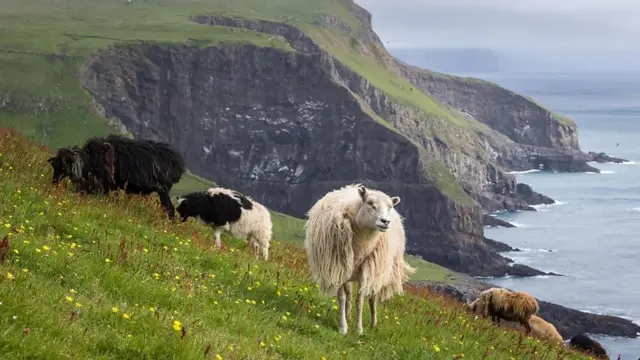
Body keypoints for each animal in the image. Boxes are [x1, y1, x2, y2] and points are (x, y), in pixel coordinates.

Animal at [44, 134, 185, 218]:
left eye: (63, 166)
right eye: (54, 166)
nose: (53, 182)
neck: (89, 160)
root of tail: (177, 163)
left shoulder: (105, 185)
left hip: (163, 190)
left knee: (170, 209)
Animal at [304, 184, 418, 336]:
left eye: (389, 207)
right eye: (369, 203)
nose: (385, 221)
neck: (363, 243)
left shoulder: (367, 267)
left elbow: (360, 300)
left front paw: (359, 329)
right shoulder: (338, 266)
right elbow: (342, 297)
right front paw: (343, 327)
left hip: (377, 267)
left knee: (373, 297)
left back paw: (373, 323)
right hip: (348, 268)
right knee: (348, 293)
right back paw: (347, 316)